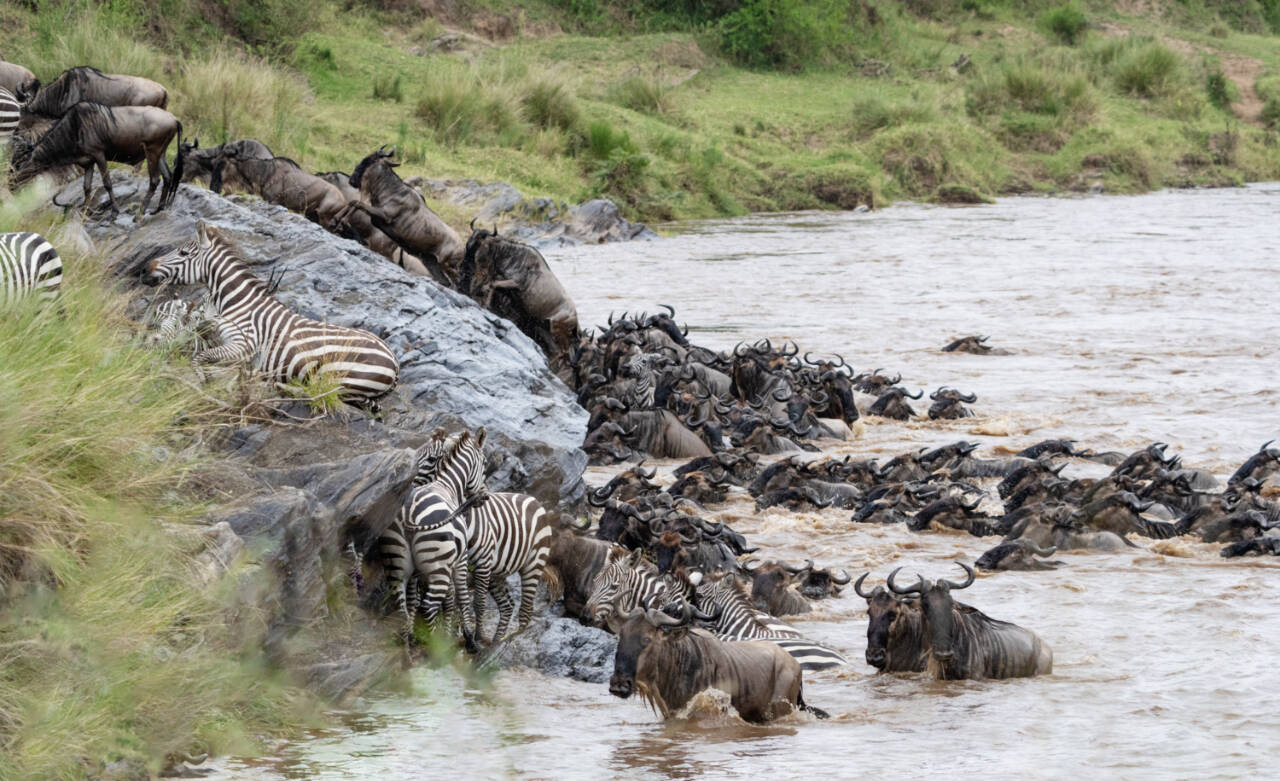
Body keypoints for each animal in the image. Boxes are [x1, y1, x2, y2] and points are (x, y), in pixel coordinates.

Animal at [142, 220, 399, 405]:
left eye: (184, 253)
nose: (145, 269)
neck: (239, 303)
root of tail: (395, 363)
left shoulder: (243, 346)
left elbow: (199, 358)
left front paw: (206, 381)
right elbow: (202, 354)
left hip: (339, 377)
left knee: (324, 393)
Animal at [380, 427, 488, 645]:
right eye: (484, 463)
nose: (485, 496)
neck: (447, 485)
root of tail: (409, 514)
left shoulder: (420, 570)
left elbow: (422, 599)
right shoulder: (461, 558)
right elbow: (461, 596)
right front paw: (467, 636)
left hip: (398, 561)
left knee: (402, 606)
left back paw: (408, 643)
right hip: (438, 567)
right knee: (428, 605)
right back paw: (436, 646)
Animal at [411, 432, 553, 644]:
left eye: (431, 459)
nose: (484, 496)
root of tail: (533, 499)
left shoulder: (482, 563)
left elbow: (477, 602)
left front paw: (475, 637)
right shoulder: (456, 562)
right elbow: (452, 600)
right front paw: (453, 637)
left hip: (533, 564)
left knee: (525, 611)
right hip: (498, 573)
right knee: (507, 606)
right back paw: (495, 643)